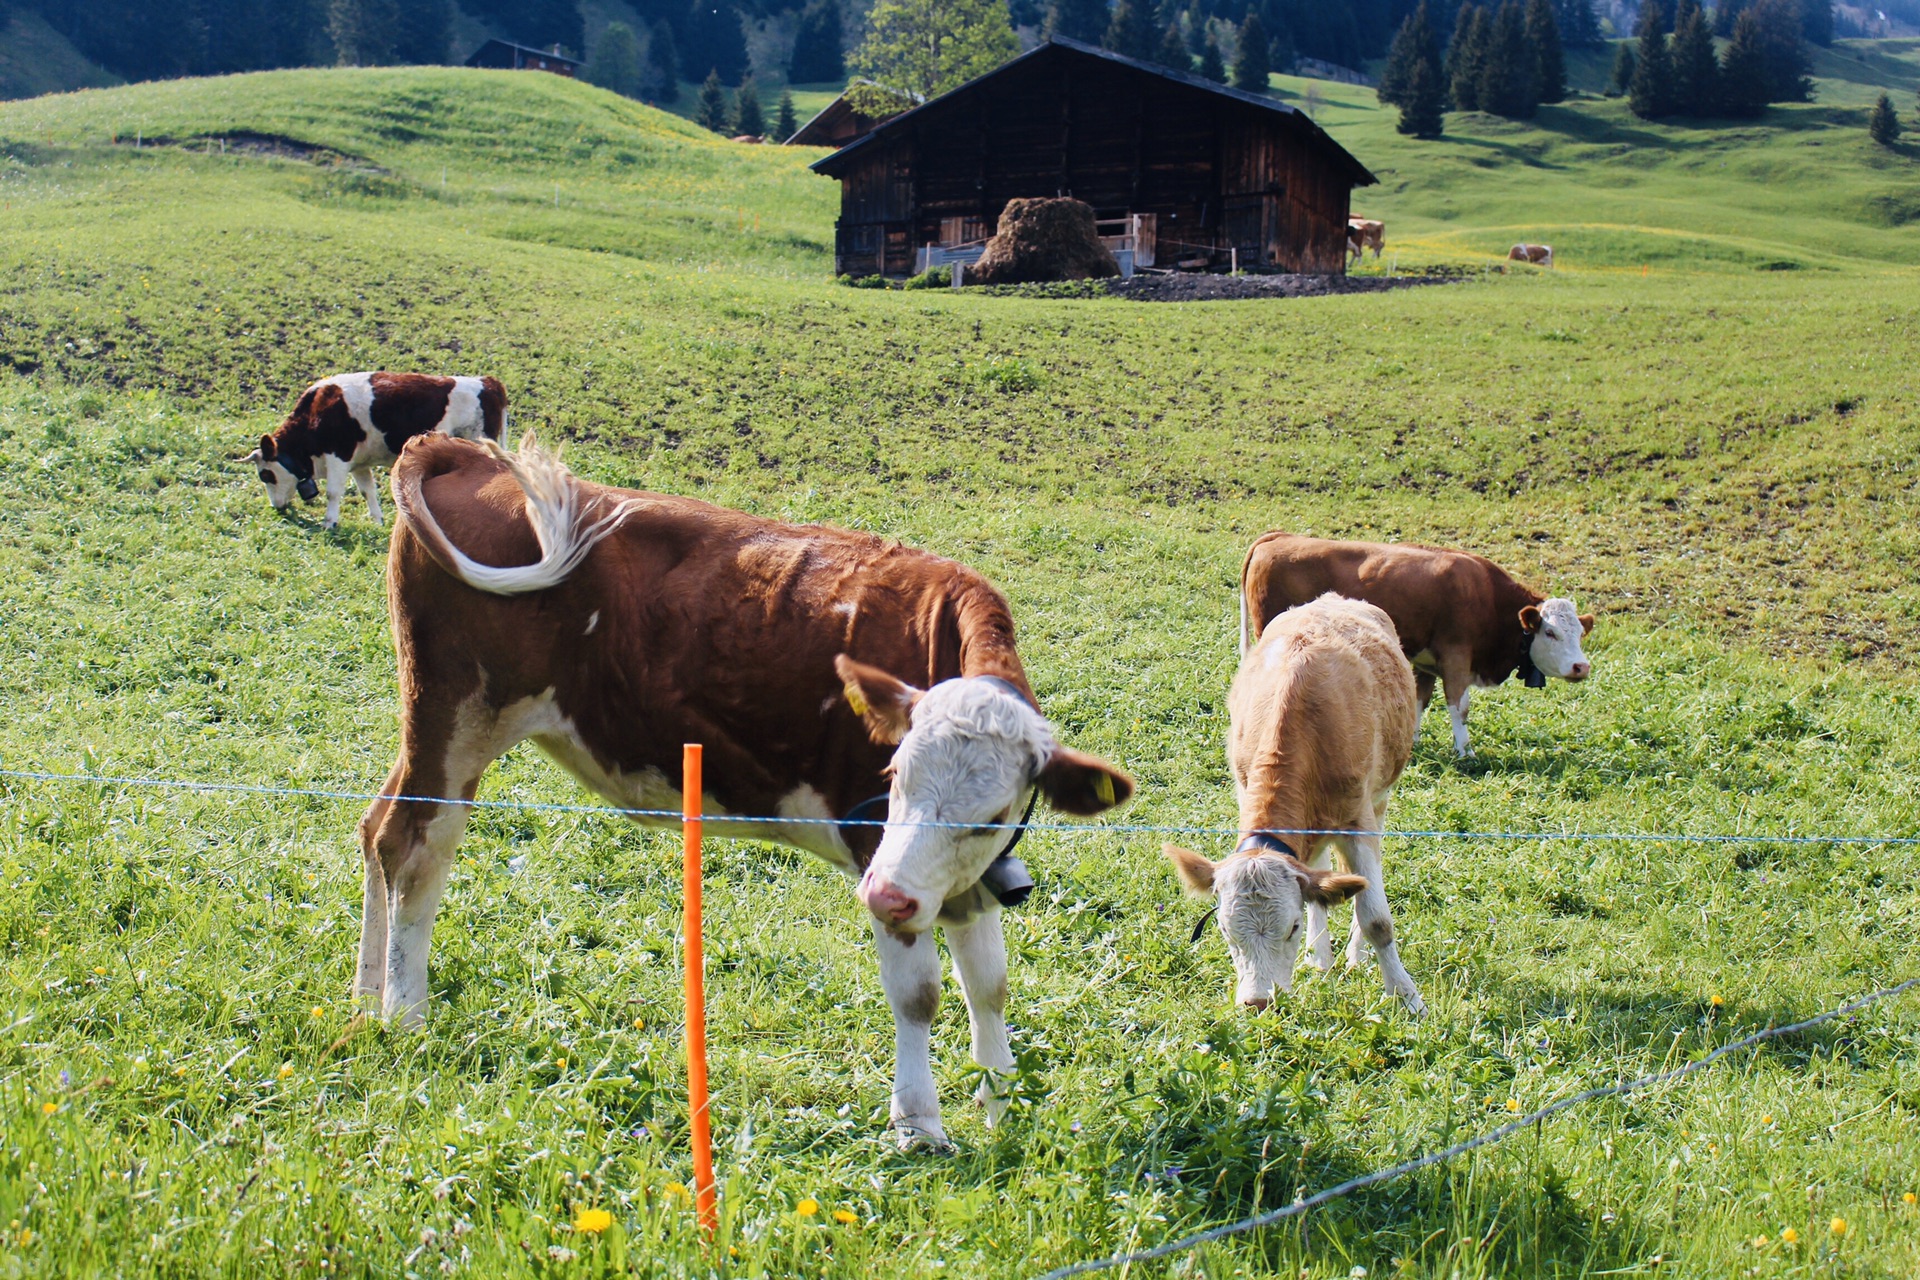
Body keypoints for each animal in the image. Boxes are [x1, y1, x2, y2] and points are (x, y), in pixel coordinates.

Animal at [249, 372, 510, 529]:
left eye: (265, 475)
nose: (277, 507)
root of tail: (487, 382)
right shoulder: (359, 464)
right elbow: (368, 491)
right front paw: (377, 520)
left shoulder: (338, 457)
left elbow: (333, 492)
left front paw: (329, 522)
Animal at [366, 429, 1128, 1151]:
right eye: (892, 779)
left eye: (991, 814)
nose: (888, 895)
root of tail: (458, 450)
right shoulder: (875, 852)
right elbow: (920, 995)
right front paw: (918, 1123)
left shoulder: (957, 874)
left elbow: (989, 981)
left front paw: (1001, 1101)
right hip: (456, 718)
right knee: (415, 849)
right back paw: (404, 1013)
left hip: (432, 727)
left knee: (376, 828)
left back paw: (366, 993)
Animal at [1159, 594, 1420, 1013]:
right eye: (1224, 930)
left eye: (1291, 927)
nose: (1257, 1001)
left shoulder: (1358, 820)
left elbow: (1377, 919)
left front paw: (1406, 996)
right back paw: (1320, 957)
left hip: (1380, 798)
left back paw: (1355, 955)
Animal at [1236, 533, 1597, 756]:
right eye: (1550, 633)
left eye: (1579, 633)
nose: (1581, 667)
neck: (1489, 598)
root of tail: (1279, 536)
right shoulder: (1456, 657)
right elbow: (1460, 707)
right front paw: (1465, 750)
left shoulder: (1427, 665)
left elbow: (1419, 701)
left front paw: (1413, 740)